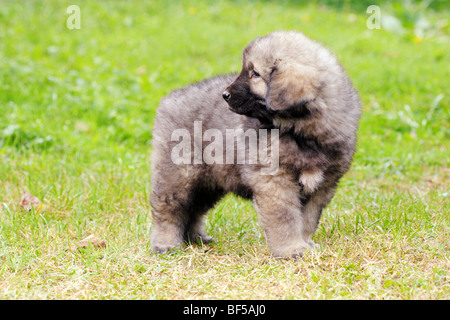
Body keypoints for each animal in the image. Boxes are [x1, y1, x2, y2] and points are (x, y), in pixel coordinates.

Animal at [149, 30, 360, 258]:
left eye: (255, 74)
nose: (225, 95)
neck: (301, 133)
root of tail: (169, 98)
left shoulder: (323, 185)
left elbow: (308, 219)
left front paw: (305, 245)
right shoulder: (275, 181)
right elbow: (284, 218)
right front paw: (291, 249)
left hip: (209, 180)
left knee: (193, 209)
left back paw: (196, 239)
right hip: (178, 174)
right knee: (168, 209)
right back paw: (166, 243)